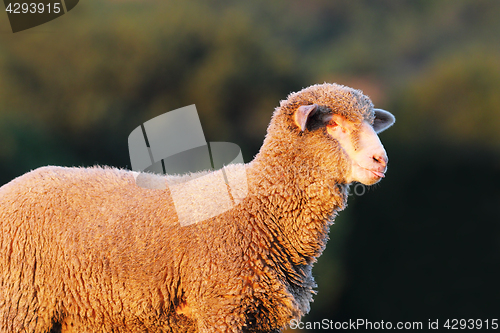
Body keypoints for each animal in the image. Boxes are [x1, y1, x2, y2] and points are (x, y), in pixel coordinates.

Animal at [1, 81, 396, 330]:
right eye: (332, 124)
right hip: (18, 307)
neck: (259, 206)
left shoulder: (259, 315)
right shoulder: (221, 306)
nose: (381, 160)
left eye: (370, 122)